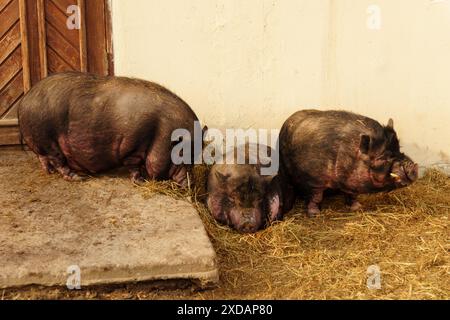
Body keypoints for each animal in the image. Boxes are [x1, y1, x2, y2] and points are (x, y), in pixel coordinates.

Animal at [17, 72, 200, 185]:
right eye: (182, 154)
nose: (190, 183)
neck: (161, 131)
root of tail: (25, 100)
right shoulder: (133, 148)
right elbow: (134, 166)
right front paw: (141, 181)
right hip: (48, 140)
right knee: (57, 160)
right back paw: (77, 178)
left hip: (39, 142)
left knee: (43, 158)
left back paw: (49, 172)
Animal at [280, 110, 420, 218]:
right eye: (381, 158)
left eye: (399, 149)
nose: (414, 166)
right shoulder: (314, 179)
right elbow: (316, 196)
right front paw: (314, 214)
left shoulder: (351, 182)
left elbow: (352, 194)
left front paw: (357, 208)